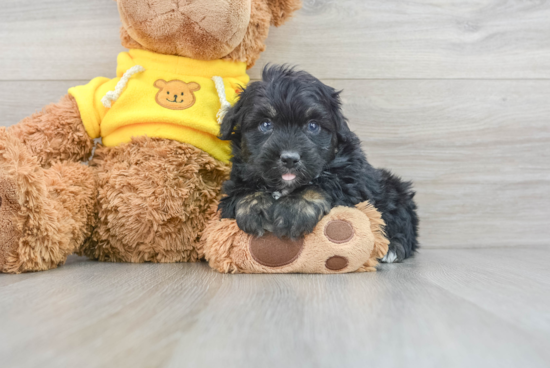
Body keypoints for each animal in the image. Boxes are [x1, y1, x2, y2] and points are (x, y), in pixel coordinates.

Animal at [218, 65, 420, 262]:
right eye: (266, 124)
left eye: (313, 125)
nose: (290, 158)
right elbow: (240, 190)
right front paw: (255, 205)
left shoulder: (351, 182)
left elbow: (323, 183)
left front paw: (293, 209)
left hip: (395, 192)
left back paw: (393, 248)